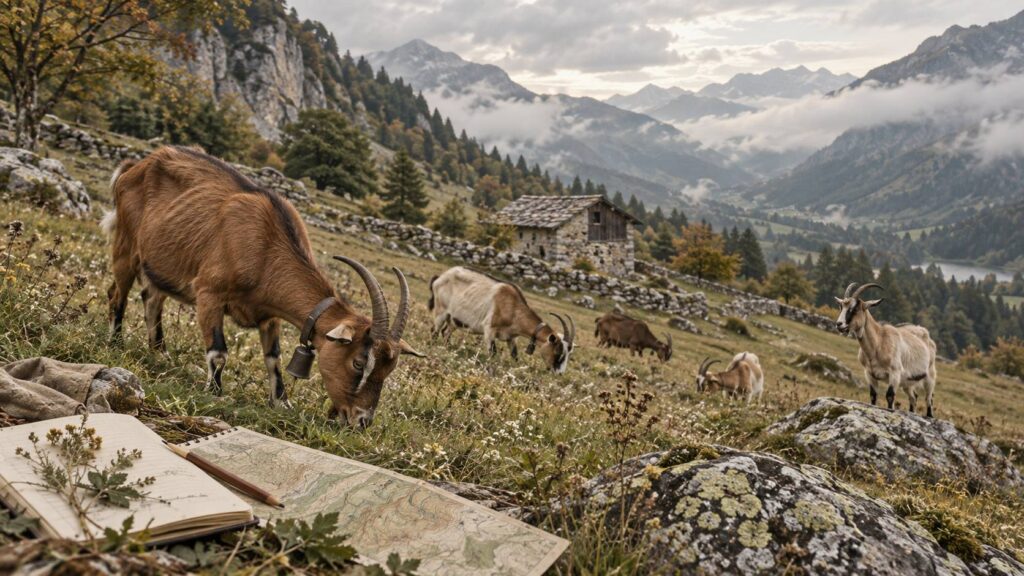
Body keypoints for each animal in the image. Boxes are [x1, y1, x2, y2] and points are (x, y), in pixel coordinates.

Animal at [105, 146, 423, 428]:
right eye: (359, 363)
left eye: (389, 369)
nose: (361, 422)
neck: (267, 248)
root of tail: (135, 166)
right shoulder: (209, 293)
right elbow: (218, 352)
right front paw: (216, 392)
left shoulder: (269, 316)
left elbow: (274, 359)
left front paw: (282, 402)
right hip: (126, 245)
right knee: (117, 294)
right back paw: (116, 342)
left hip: (160, 265)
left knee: (151, 299)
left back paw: (159, 352)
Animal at [428, 266, 575, 372]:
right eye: (558, 352)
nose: (559, 373)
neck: (513, 307)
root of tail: (439, 278)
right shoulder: (489, 329)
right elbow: (493, 353)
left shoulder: (511, 337)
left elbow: (515, 355)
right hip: (441, 310)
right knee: (434, 331)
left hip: (454, 319)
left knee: (446, 332)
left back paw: (447, 348)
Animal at [835, 282, 937, 417]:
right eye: (841, 307)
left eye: (855, 309)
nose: (839, 324)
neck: (878, 343)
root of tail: (926, 335)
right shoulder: (869, 374)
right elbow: (873, 396)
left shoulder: (895, 373)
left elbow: (890, 396)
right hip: (907, 382)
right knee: (914, 397)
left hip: (930, 375)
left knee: (929, 398)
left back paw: (929, 416)